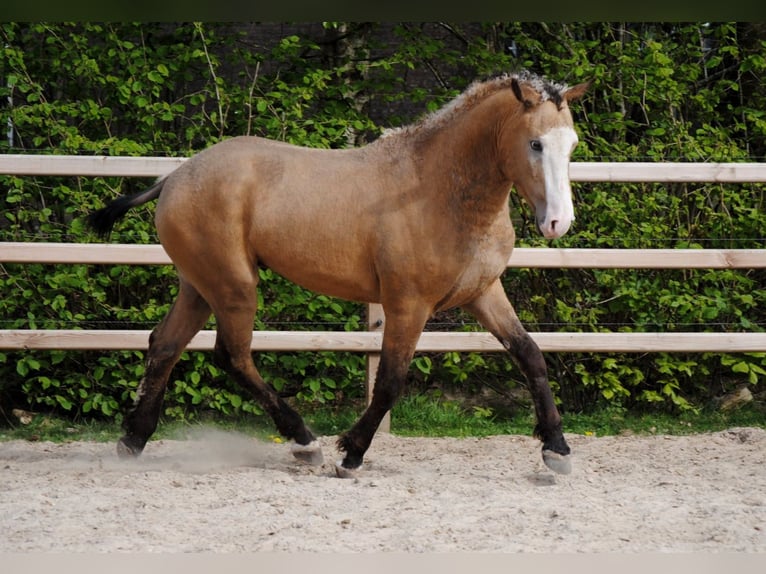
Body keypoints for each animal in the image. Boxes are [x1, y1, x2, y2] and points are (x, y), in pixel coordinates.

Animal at [88, 70, 589, 477]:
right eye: (535, 143)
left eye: (572, 145)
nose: (558, 222)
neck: (437, 189)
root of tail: (174, 178)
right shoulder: (408, 304)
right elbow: (390, 380)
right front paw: (351, 453)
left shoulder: (484, 293)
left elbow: (531, 355)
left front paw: (557, 450)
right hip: (233, 286)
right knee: (232, 355)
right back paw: (304, 443)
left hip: (198, 286)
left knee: (165, 345)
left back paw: (133, 439)